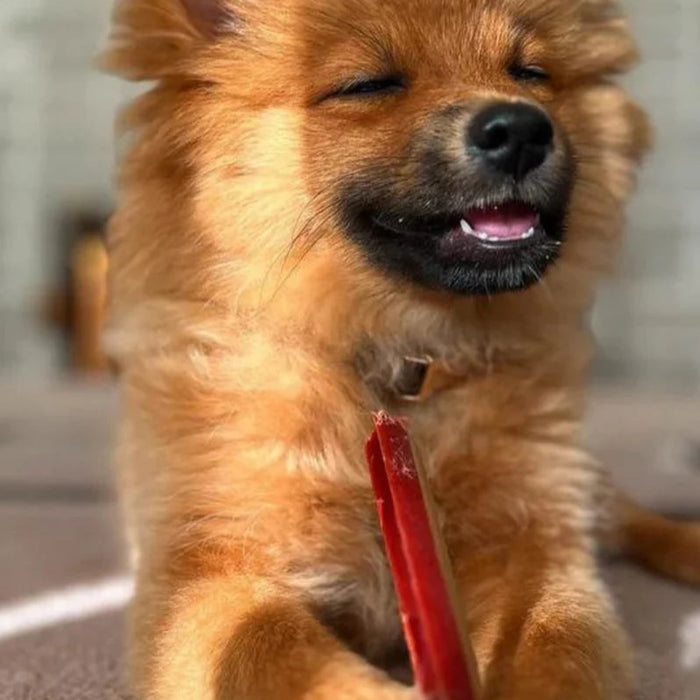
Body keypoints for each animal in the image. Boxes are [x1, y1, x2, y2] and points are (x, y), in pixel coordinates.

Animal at [103, 1, 700, 698]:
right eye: (368, 85)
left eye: (530, 72)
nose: (522, 130)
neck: (392, 362)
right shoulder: (210, 577)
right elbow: (282, 655)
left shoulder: (534, 543)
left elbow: (558, 648)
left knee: (632, 519)